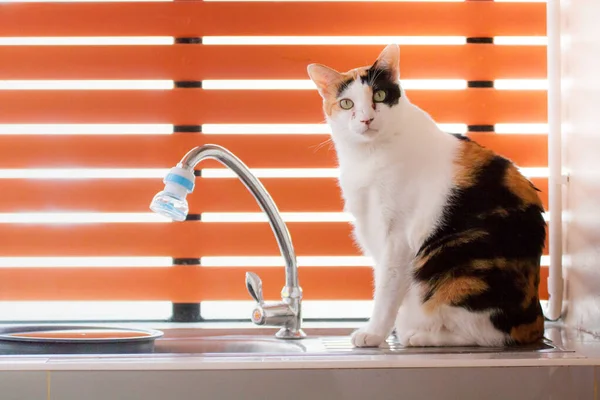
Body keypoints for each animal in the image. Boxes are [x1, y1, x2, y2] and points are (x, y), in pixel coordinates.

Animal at [308, 43, 548, 344]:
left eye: (379, 95)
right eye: (347, 104)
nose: (366, 119)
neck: (369, 155)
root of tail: (536, 320)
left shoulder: (397, 236)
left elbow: (387, 288)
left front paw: (374, 333)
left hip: (459, 263)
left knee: (485, 334)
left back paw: (419, 336)